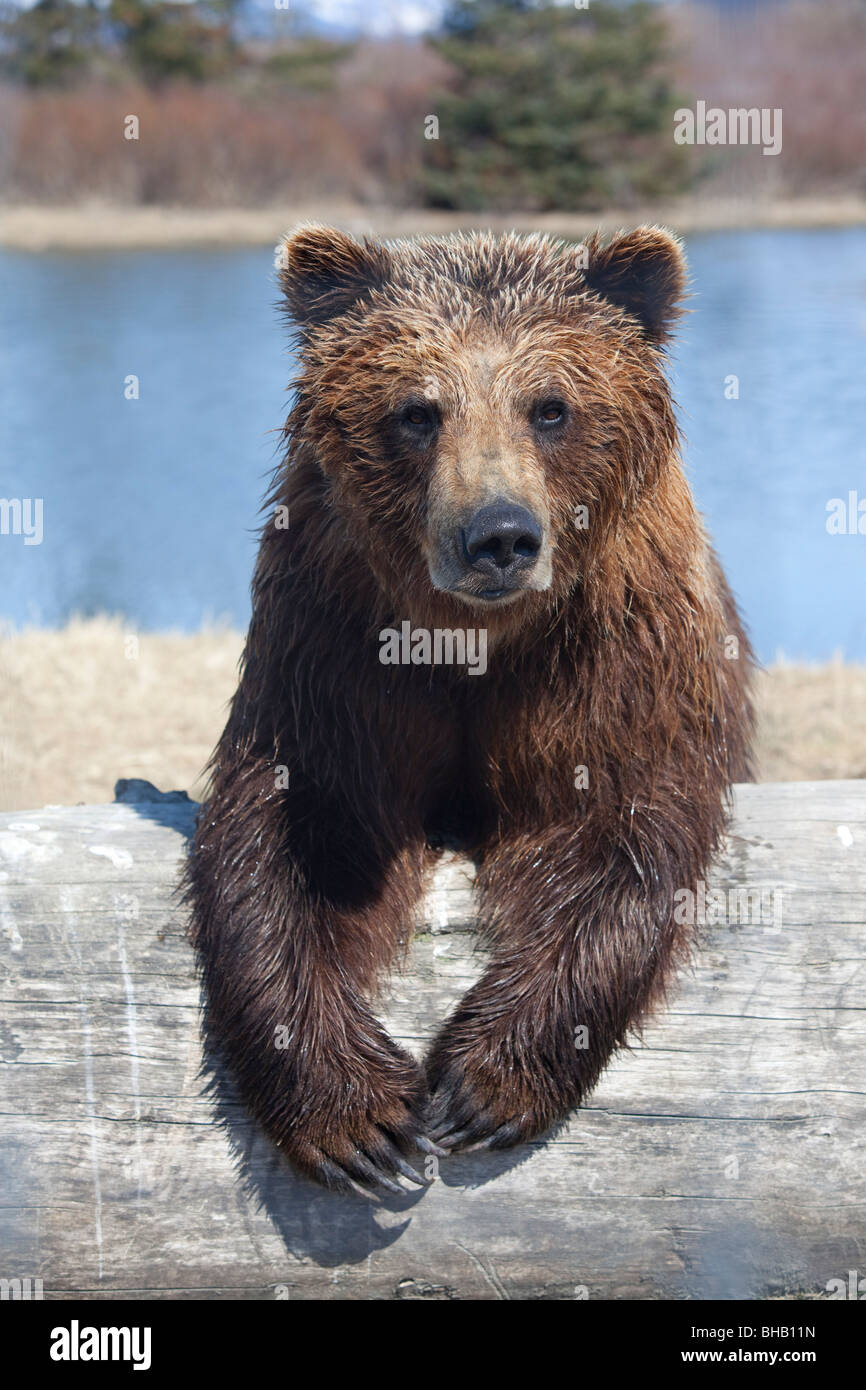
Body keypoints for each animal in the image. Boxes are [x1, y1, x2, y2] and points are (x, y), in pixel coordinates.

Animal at [187, 222, 750, 1189]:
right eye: (418, 410)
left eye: (550, 406)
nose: (498, 535)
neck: (473, 639)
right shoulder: (333, 647)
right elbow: (290, 837)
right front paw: (358, 1118)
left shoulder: (616, 654)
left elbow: (628, 833)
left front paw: (484, 1085)